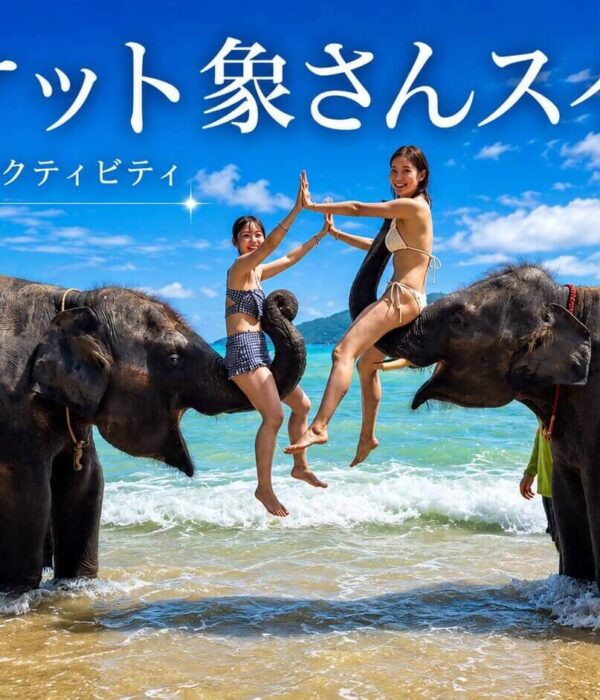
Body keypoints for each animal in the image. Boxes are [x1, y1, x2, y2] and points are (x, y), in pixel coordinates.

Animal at [0, 275, 305, 592]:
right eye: (173, 358)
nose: (282, 300)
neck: (74, 301)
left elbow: (86, 483)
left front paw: (78, 586)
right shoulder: (14, 408)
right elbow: (30, 493)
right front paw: (18, 592)